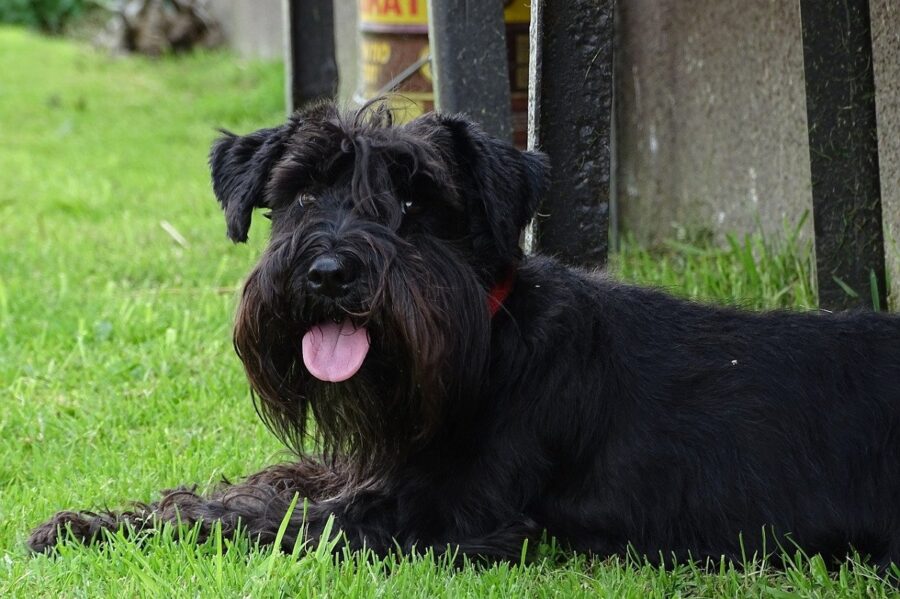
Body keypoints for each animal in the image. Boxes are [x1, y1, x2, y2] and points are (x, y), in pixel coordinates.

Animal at [28, 102, 900, 568]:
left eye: (418, 204)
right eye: (302, 192)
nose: (331, 272)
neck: (491, 340)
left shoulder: (441, 517)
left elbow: (263, 519)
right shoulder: (364, 466)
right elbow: (256, 486)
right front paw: (97, 520)